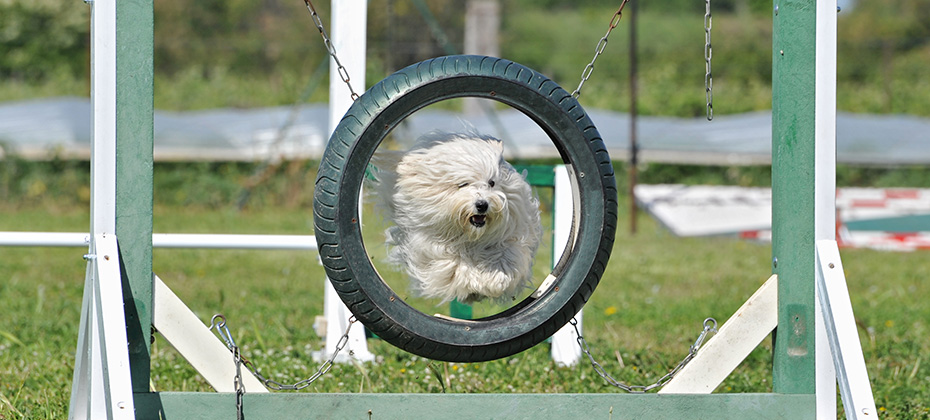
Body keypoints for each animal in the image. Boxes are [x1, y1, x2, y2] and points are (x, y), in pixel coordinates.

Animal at [370, 130, 540, 302]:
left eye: (491, 183)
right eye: (463, 184)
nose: (482, 205)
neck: (468, 235)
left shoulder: (512, 234)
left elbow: (507, 254)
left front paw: (496, 278)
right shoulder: (433, 248)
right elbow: (455, 266)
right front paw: (477, 280)